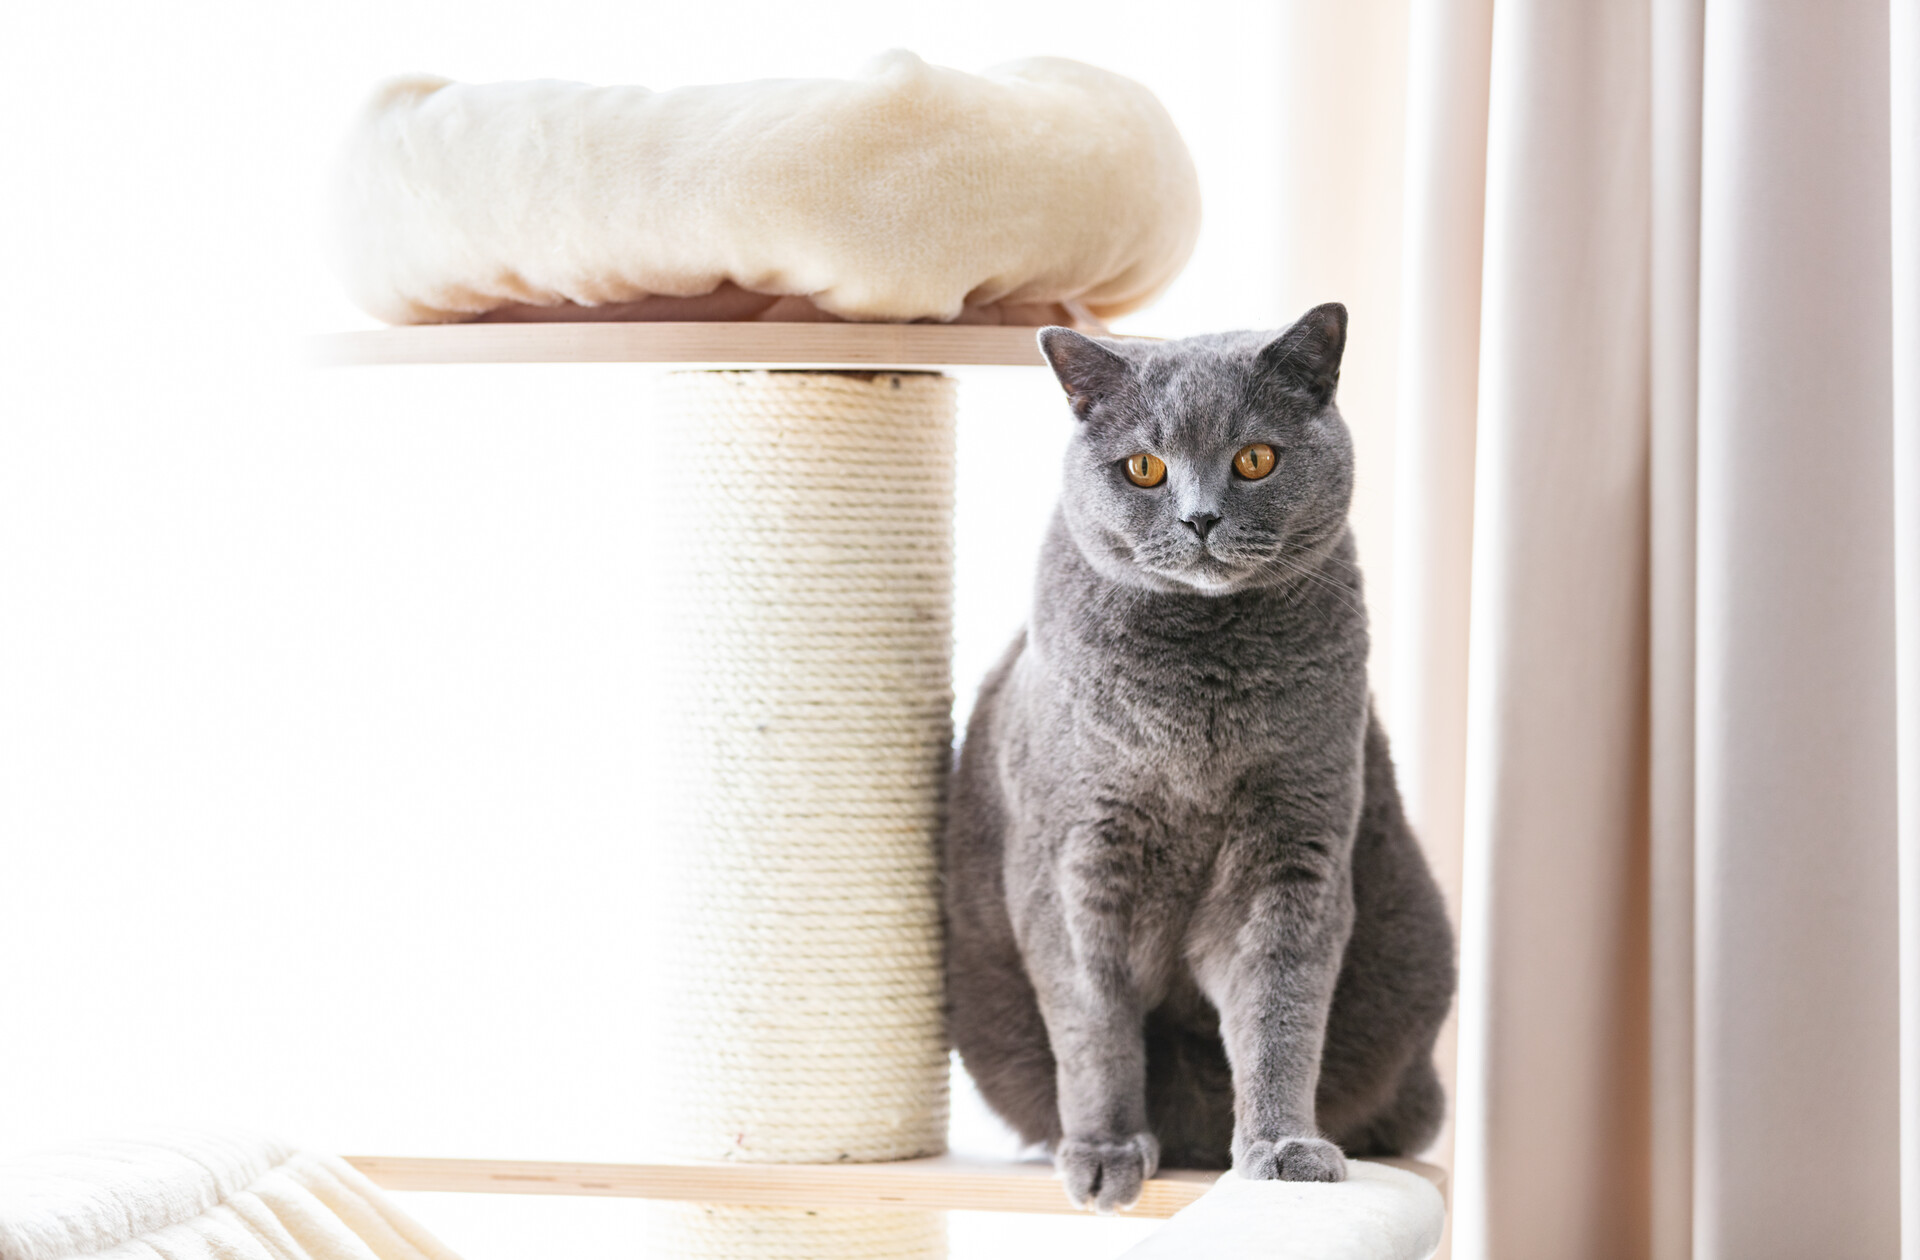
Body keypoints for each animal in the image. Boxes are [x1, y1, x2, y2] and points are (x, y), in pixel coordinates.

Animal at [940, 303, 1451, 1213]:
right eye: (1144, 469)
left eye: (1255, 459)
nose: (1199, 519)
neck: (1197, 711)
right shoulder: (1074, 860)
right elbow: (1093, 1021)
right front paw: (1105, 1151)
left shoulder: (1294, 851)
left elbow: (1281, 1011)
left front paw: (1284, 1148)